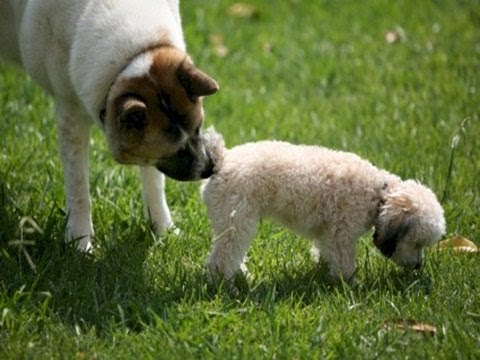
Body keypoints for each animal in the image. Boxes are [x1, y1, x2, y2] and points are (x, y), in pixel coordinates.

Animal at [0, 0, 219, 250]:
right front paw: (80, 243)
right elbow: (78, 186)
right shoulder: (70, 112)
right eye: (176, 151)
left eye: (198, 128)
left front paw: (164, 230)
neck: (131, 57)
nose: (211, 167)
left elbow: (153, 180)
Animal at [200, 128, 446, 282]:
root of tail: (222, 160)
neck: (379, 194)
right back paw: (225, 284)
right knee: (222, 257)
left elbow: (324, 252)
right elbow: (343, 262)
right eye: (416, 242)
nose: (418, 266)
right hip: (237, 220)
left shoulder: (327, 232)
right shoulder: (342, 233)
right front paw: (349, 284)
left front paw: (323, 269)